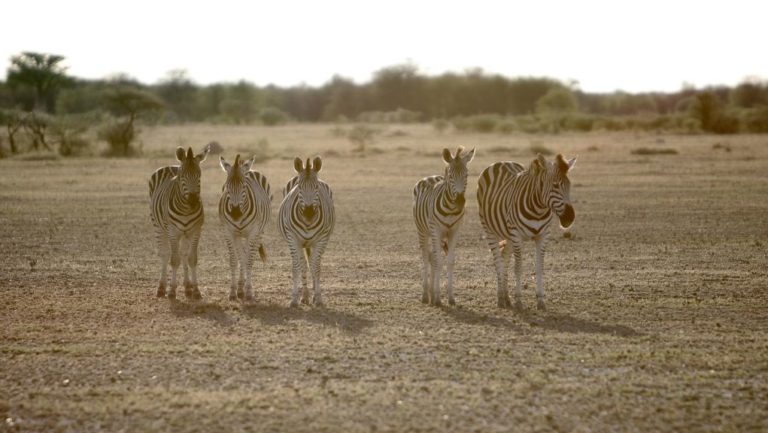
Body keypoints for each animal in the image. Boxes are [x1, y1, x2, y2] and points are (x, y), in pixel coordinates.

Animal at [148, 145, 210, 296]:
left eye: (199, 176)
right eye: (182, 177)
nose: (193, 202)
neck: (186, 209)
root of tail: (171, 165)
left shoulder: (195, 231)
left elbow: (191, 258)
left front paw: (196, 290)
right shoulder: (173, 232)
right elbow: (174, 260)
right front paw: (171, 291)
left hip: (184, 233)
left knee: (183, 254)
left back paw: (187, 286)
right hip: (158, 227)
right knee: (164, 254)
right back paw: (161, 287)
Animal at [219, 154, 272, 300]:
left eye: (243, 186)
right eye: (227, 186)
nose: (235, 213)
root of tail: (250, 170)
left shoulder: (253, 232)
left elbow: (249, 260)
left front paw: (249, 291)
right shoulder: (228, 232)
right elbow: (234, 260)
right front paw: (233, 291)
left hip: (260, 232)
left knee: (249, 256)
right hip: (238, 235)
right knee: (241, 255)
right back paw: (240, 288)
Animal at [278, 155, 334, 308]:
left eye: (316, 187)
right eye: (299, 187)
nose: (309, 213)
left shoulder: (321, 240)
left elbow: (316, 266)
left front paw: (318, 297)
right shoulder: (293, 239)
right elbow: (297, 267)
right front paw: (294, 299)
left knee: (312, 262)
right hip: (301, 243)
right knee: (303, 263)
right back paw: (305, 296)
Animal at [414, 147, 474, 306]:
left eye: (466, 175)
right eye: (451, 176)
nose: (460, 201)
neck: (451, 209)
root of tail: (431, 177)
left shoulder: (454, 231)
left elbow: (450, 261)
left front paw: (450, 297)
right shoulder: (437, 230)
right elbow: (438, 261)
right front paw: (437, 298)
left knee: (431, 256)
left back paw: (430, 293)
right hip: (423, 231)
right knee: (425, 256)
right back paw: (425, 295)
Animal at [474, 154, 576, 308]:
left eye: (569, 185)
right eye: (555, 185)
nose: (570, 217)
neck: (538, 209)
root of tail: (502, 162)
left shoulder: (543, 236)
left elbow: (539, 267)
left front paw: (540, 300)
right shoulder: (517, 236)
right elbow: (518, 267)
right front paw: (519, 301)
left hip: (508, 234)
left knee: (504, 256)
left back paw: (506, 297)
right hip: (489, 229)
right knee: (497, 260)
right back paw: (500, 298)